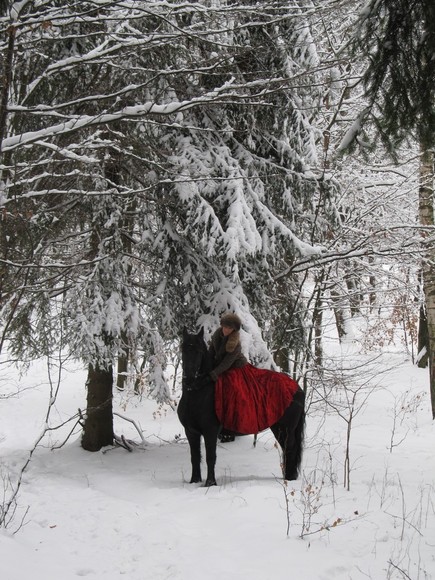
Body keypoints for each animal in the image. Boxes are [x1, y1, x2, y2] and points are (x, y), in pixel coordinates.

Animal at [177, 328, 306, 488]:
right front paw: (194, 481)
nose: (188, 380)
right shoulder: (191, 432)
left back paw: (290, 478)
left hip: (285, 429)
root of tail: (297, 388)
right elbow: (194, 457)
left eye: (199, 351)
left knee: (290, 450)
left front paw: (210, 483)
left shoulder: (210, 431)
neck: (199, 393)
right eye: (183, 349)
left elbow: (210, 457)